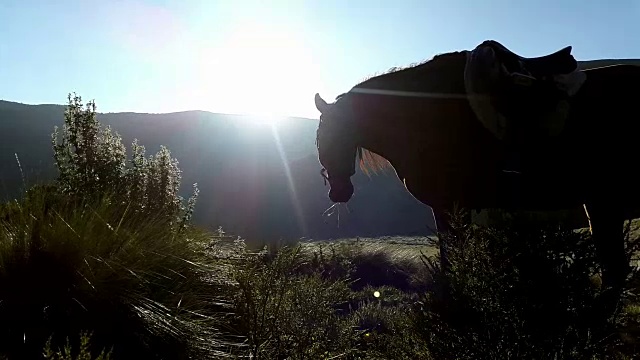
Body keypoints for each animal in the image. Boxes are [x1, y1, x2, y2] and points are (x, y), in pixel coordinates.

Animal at [314, 40, 640, 322]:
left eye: (331, 136)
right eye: (321, 138)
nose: (338, 193)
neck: (424, 116)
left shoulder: (448, 207)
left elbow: (450, 258)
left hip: (602, 205)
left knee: (614, 270)